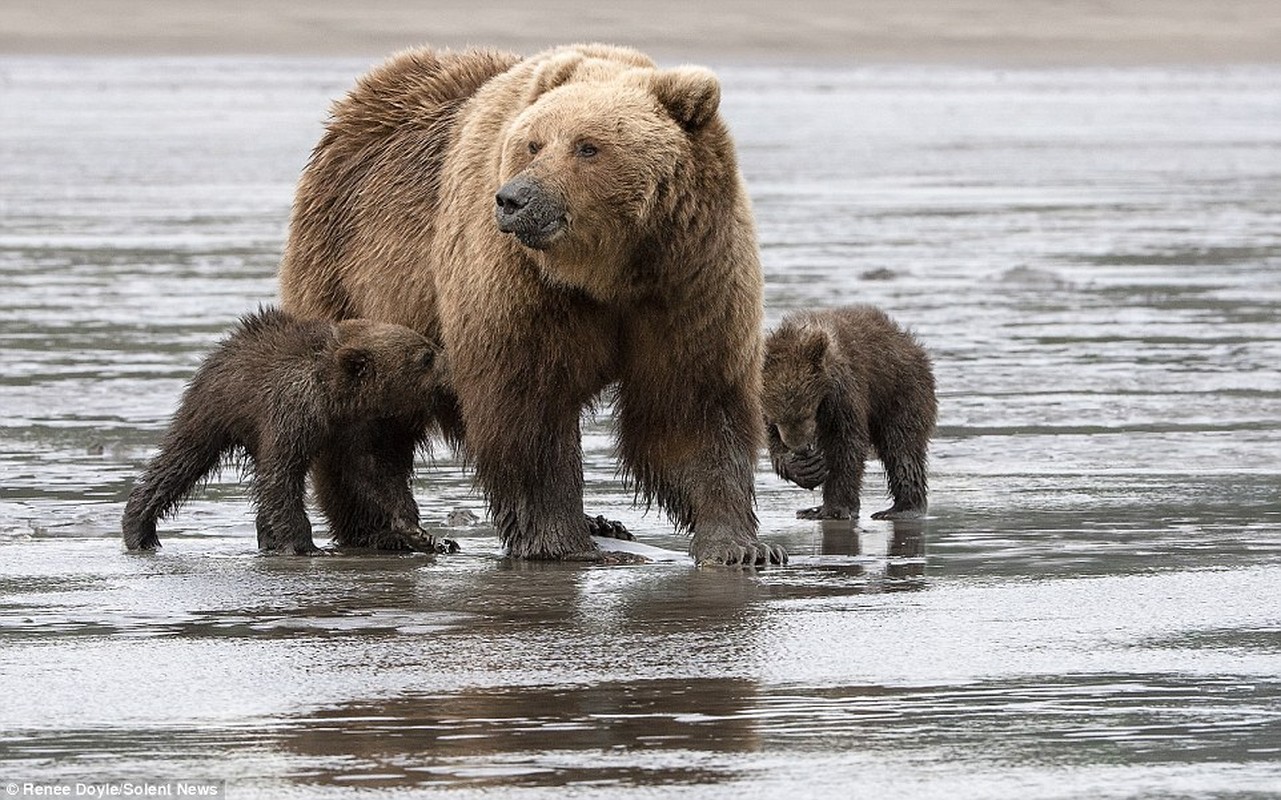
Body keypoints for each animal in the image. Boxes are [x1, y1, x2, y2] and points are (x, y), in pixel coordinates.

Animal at [279, 45, 778, 560]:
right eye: (534, 144)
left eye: (587, 146)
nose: (514, 198)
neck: (609, 272)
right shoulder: (523, 286)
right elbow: (530, 408)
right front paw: (562, 542)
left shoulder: (690, 278)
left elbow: (690, 403)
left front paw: (739, 544)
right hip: (352, 269)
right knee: (366, 419)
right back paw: (391, 529)